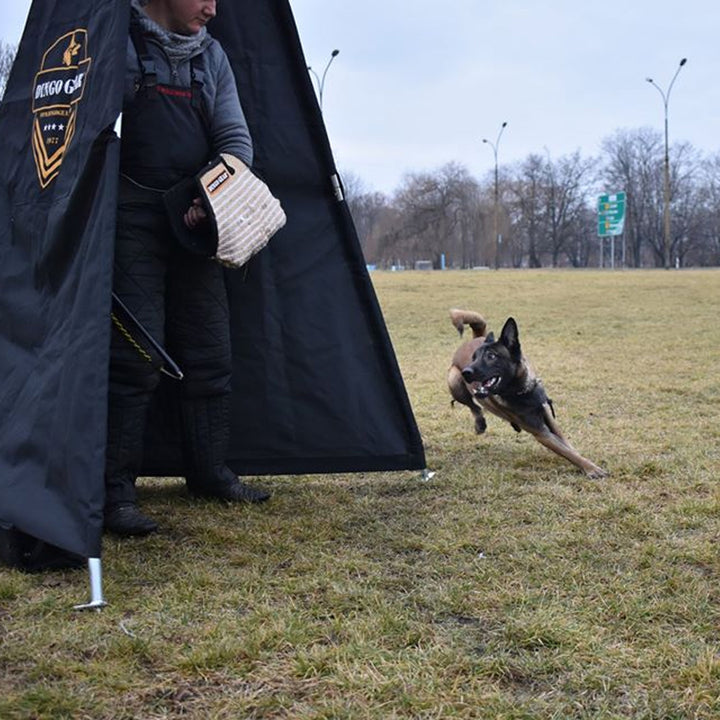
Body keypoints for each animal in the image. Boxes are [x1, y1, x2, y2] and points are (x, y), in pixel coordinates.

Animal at [450, 310, 608, 478]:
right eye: (473, 358)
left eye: (491, 356)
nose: (466, 372)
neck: (521, 392)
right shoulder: (541, 433)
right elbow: (566, 451)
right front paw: (591, 468)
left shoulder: (547, 415)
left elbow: (567, 444)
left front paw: (586, 462)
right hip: (454, 382)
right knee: (473, 406)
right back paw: (480, 423)